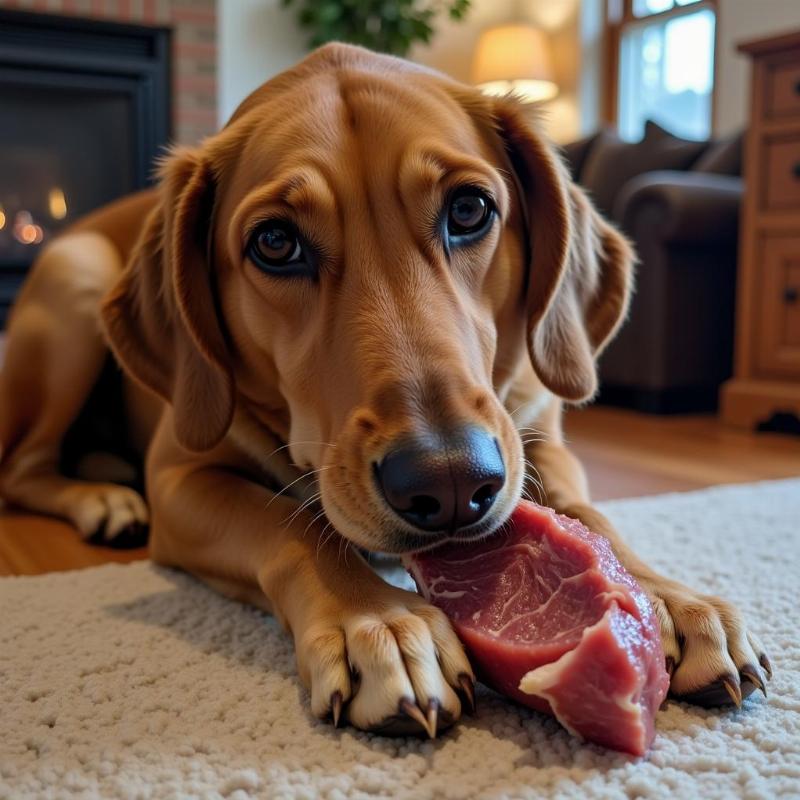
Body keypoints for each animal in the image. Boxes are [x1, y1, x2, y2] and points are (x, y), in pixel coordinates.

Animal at [0, 45, 768, 736]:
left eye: (469, 210)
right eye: (274, 242)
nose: (451, 481)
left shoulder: (539, 437)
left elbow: (591, 515)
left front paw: (669, 597)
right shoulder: (181, 476)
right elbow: (287, 525)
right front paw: (380, 621)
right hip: (74, 282)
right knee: (22, 469)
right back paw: (103, 498)